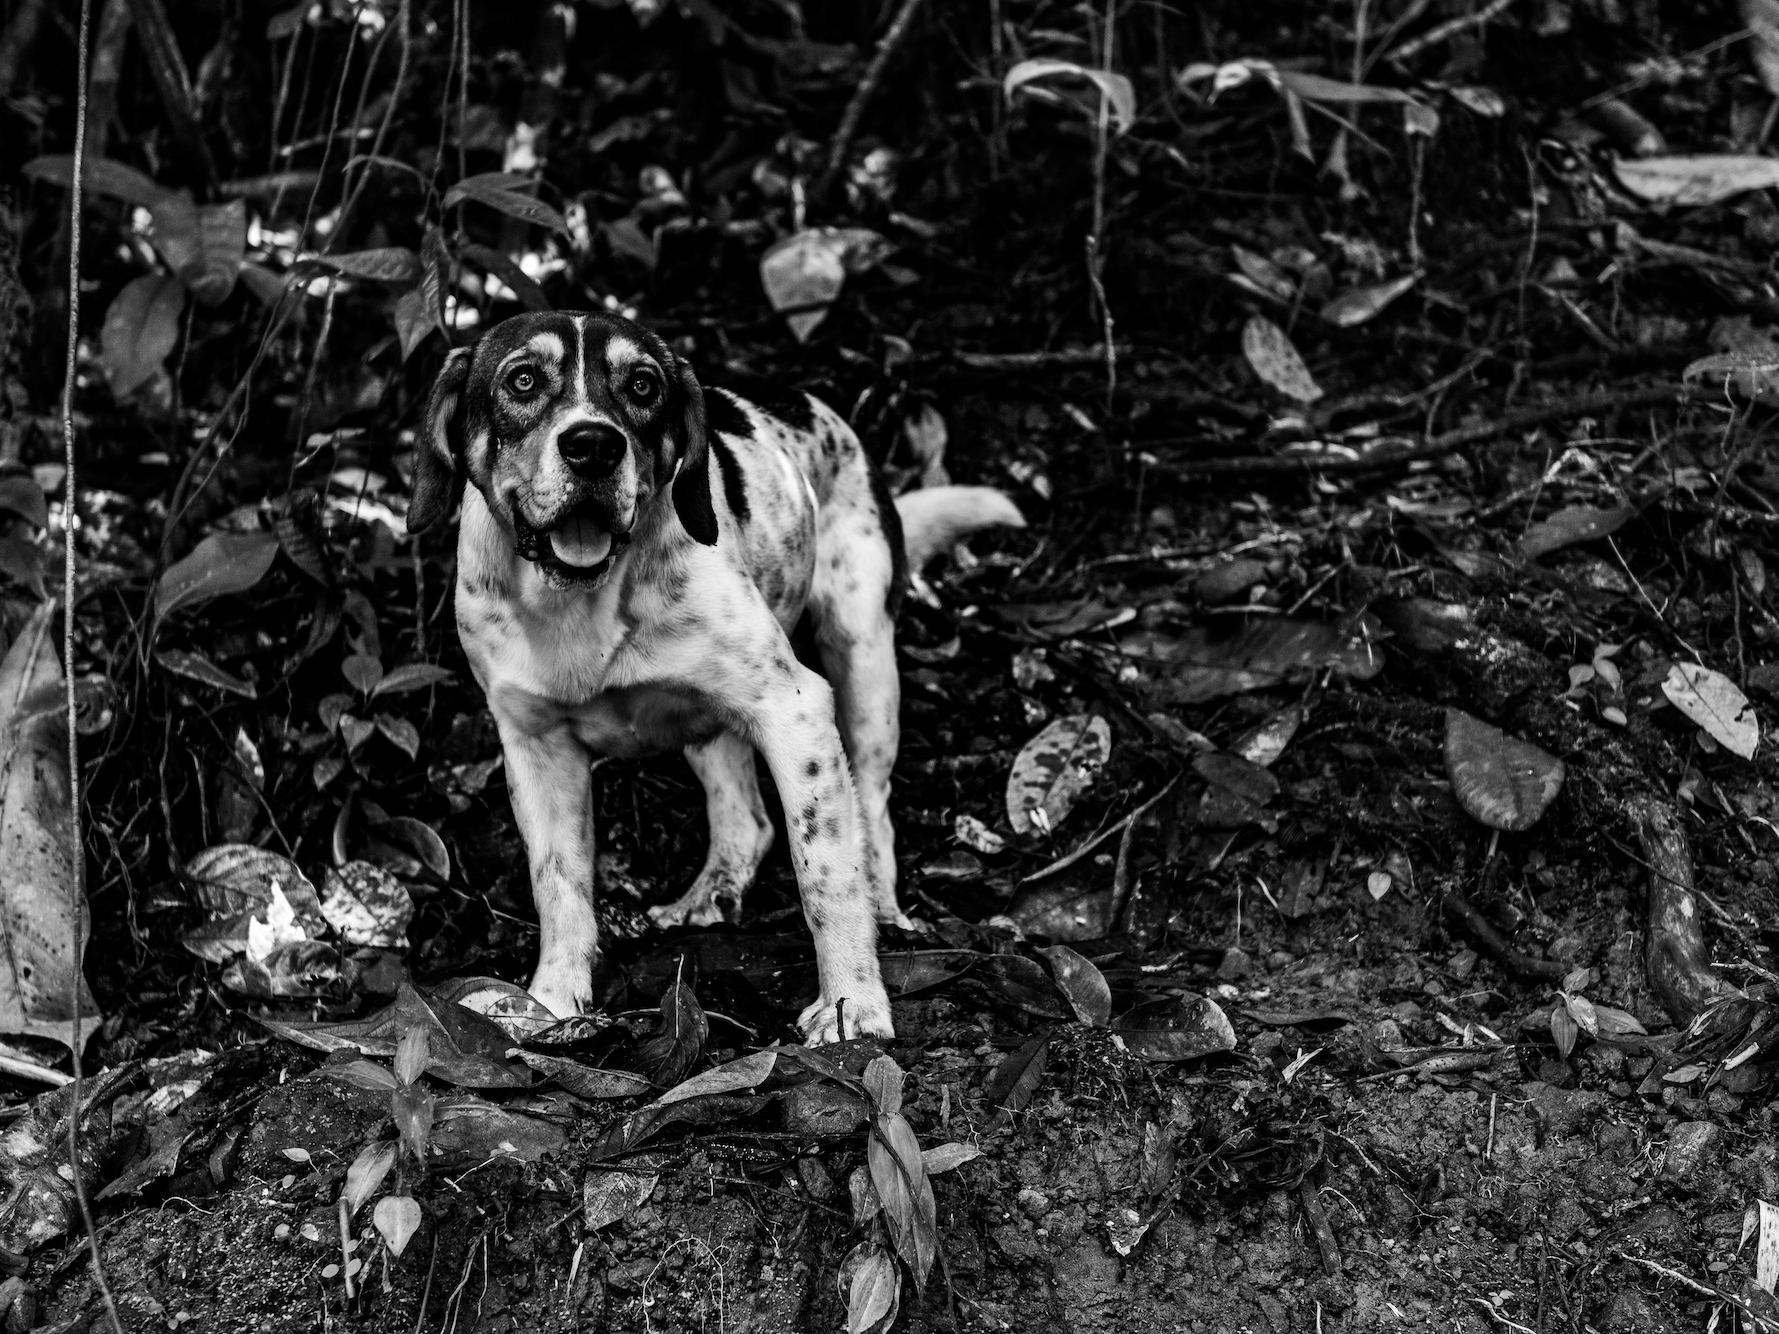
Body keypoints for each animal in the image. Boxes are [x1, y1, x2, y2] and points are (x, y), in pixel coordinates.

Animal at [407, 311, 1024, 1045]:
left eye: (643, 385)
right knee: (746, 820)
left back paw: (884, 910)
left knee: (870, 810)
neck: (580, 599)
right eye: (522, 380)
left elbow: (825, 876)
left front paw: (852, 1006)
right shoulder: (534, 745)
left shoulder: (795, 710)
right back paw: (709, 893)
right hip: (707, 717)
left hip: (862, 658)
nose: (593, 446)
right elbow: (558, 886)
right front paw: (552, 1004)